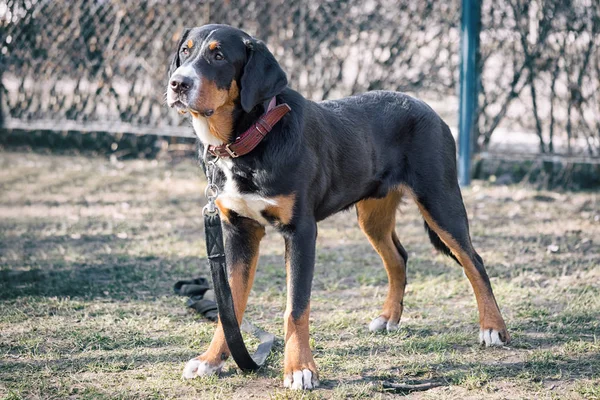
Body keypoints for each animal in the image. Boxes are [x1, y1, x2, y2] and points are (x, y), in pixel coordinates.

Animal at [166, 23, 508, 390]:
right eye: (185, 51)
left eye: (218, 55)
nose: (178, 83)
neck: (250, 140)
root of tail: (427, 108)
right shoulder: (239, 229)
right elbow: (230, 305)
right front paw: (211, 359)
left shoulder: (301, 232)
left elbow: (296, 308)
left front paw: (300, 369)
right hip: (373, 216)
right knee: (398, 258)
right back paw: (389, 317)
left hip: (440, 201)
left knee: (473, 261)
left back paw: (492, 328)